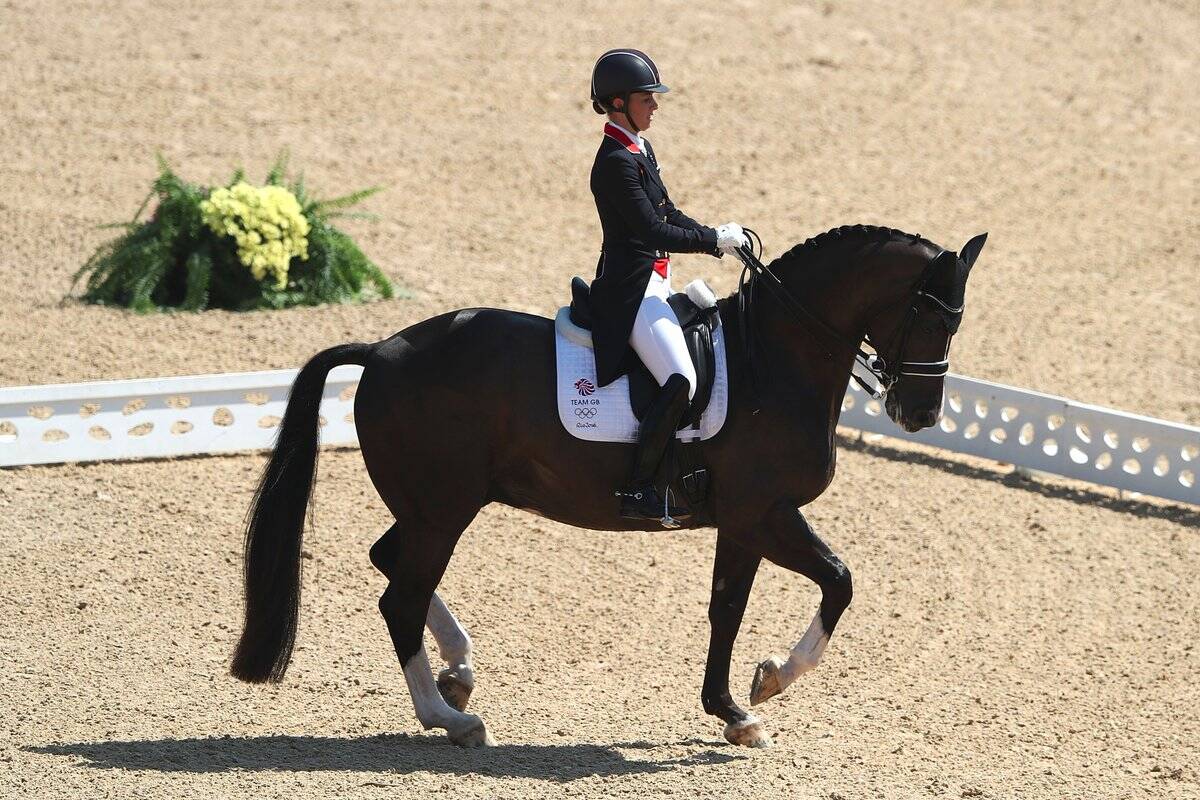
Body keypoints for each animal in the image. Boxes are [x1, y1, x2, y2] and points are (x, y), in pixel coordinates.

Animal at [229, 225, 988, 753]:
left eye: (957, 320)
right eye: (931, 315)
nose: (919, 415)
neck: (775, 357)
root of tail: (382, 352)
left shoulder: (744, 521)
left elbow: (730, 609)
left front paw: (736, 712)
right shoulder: (764, 512)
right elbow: (834, 582)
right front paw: (766, 684)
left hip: (428, 509)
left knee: (391, 565)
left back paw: (459, 672)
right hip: (443, 511)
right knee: (400, 599)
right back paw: (450, 718)